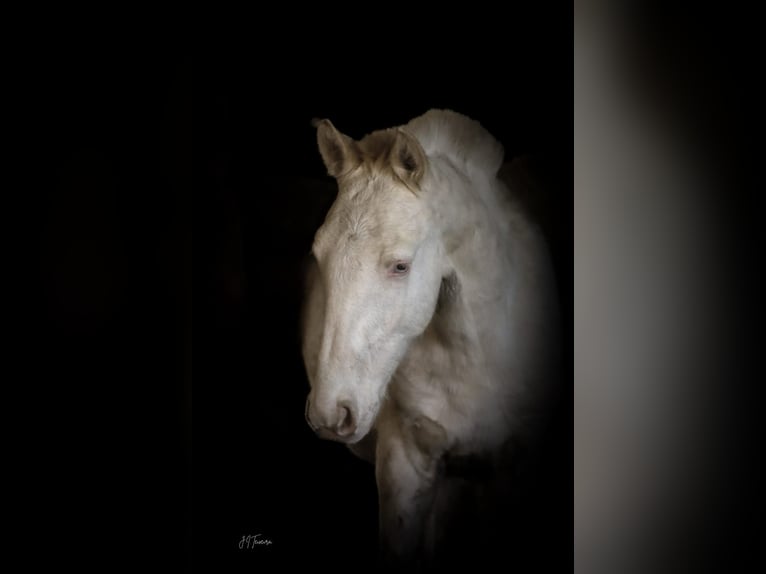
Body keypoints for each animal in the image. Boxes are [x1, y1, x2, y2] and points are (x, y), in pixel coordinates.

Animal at [304, 110, 560, 568]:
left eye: (401, 266)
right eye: (318, 255)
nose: (331, 412)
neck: (474, 358)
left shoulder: (512, 472)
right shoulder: (405, 464)